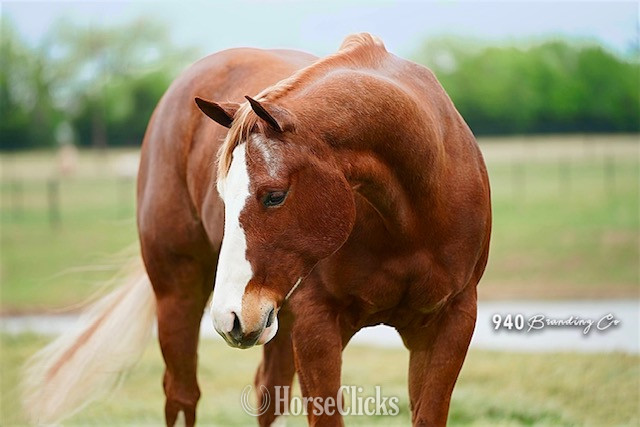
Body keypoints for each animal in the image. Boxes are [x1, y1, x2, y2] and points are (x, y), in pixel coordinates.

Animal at [23, 33, 491, 426]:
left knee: (269, 395)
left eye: (275, 196)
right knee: (182, 395)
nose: (228, 315)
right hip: (180, 297)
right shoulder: (317, 327)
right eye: (224, 197)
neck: (413, 214)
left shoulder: (450, 324)